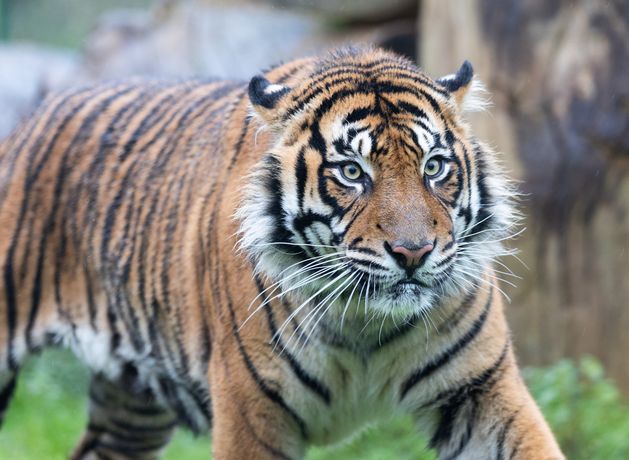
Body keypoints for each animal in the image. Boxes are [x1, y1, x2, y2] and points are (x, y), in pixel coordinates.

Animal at [0, 47, 564, 460]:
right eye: (352, 172)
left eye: (434, 167)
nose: (414, 252)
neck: (365, 324)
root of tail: (35, 114)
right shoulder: (250, 412)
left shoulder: (483, 389)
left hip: (133, 405)